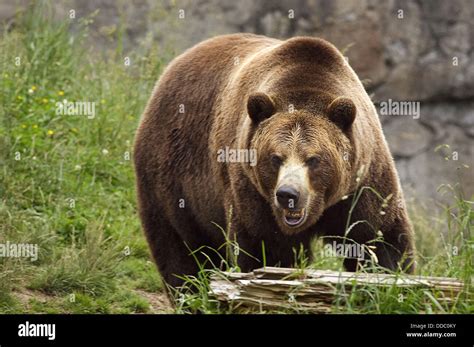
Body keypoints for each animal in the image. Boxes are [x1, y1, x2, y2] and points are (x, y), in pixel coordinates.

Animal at [133, 33, 414, 288]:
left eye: (313, 159)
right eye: (276, 157)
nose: (288, 194)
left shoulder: (363, 180)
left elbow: (377, 238)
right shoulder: (251, 188)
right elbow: (266, 246)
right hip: (171, 176)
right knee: (180, 249)